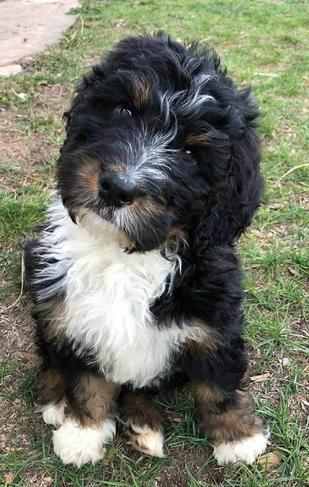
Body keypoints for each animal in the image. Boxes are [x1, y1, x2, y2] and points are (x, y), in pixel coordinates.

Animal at [25, 32, 268, 468]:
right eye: (123, 110)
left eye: (189, 153)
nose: (116, 188)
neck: (124, 254)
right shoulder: (74, 319)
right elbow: (86, 382)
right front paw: (84, 430)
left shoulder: (214, 319)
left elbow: (218, 384)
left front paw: (238, 437)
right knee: (51, 354)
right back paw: (55, 400)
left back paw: (144, 423)